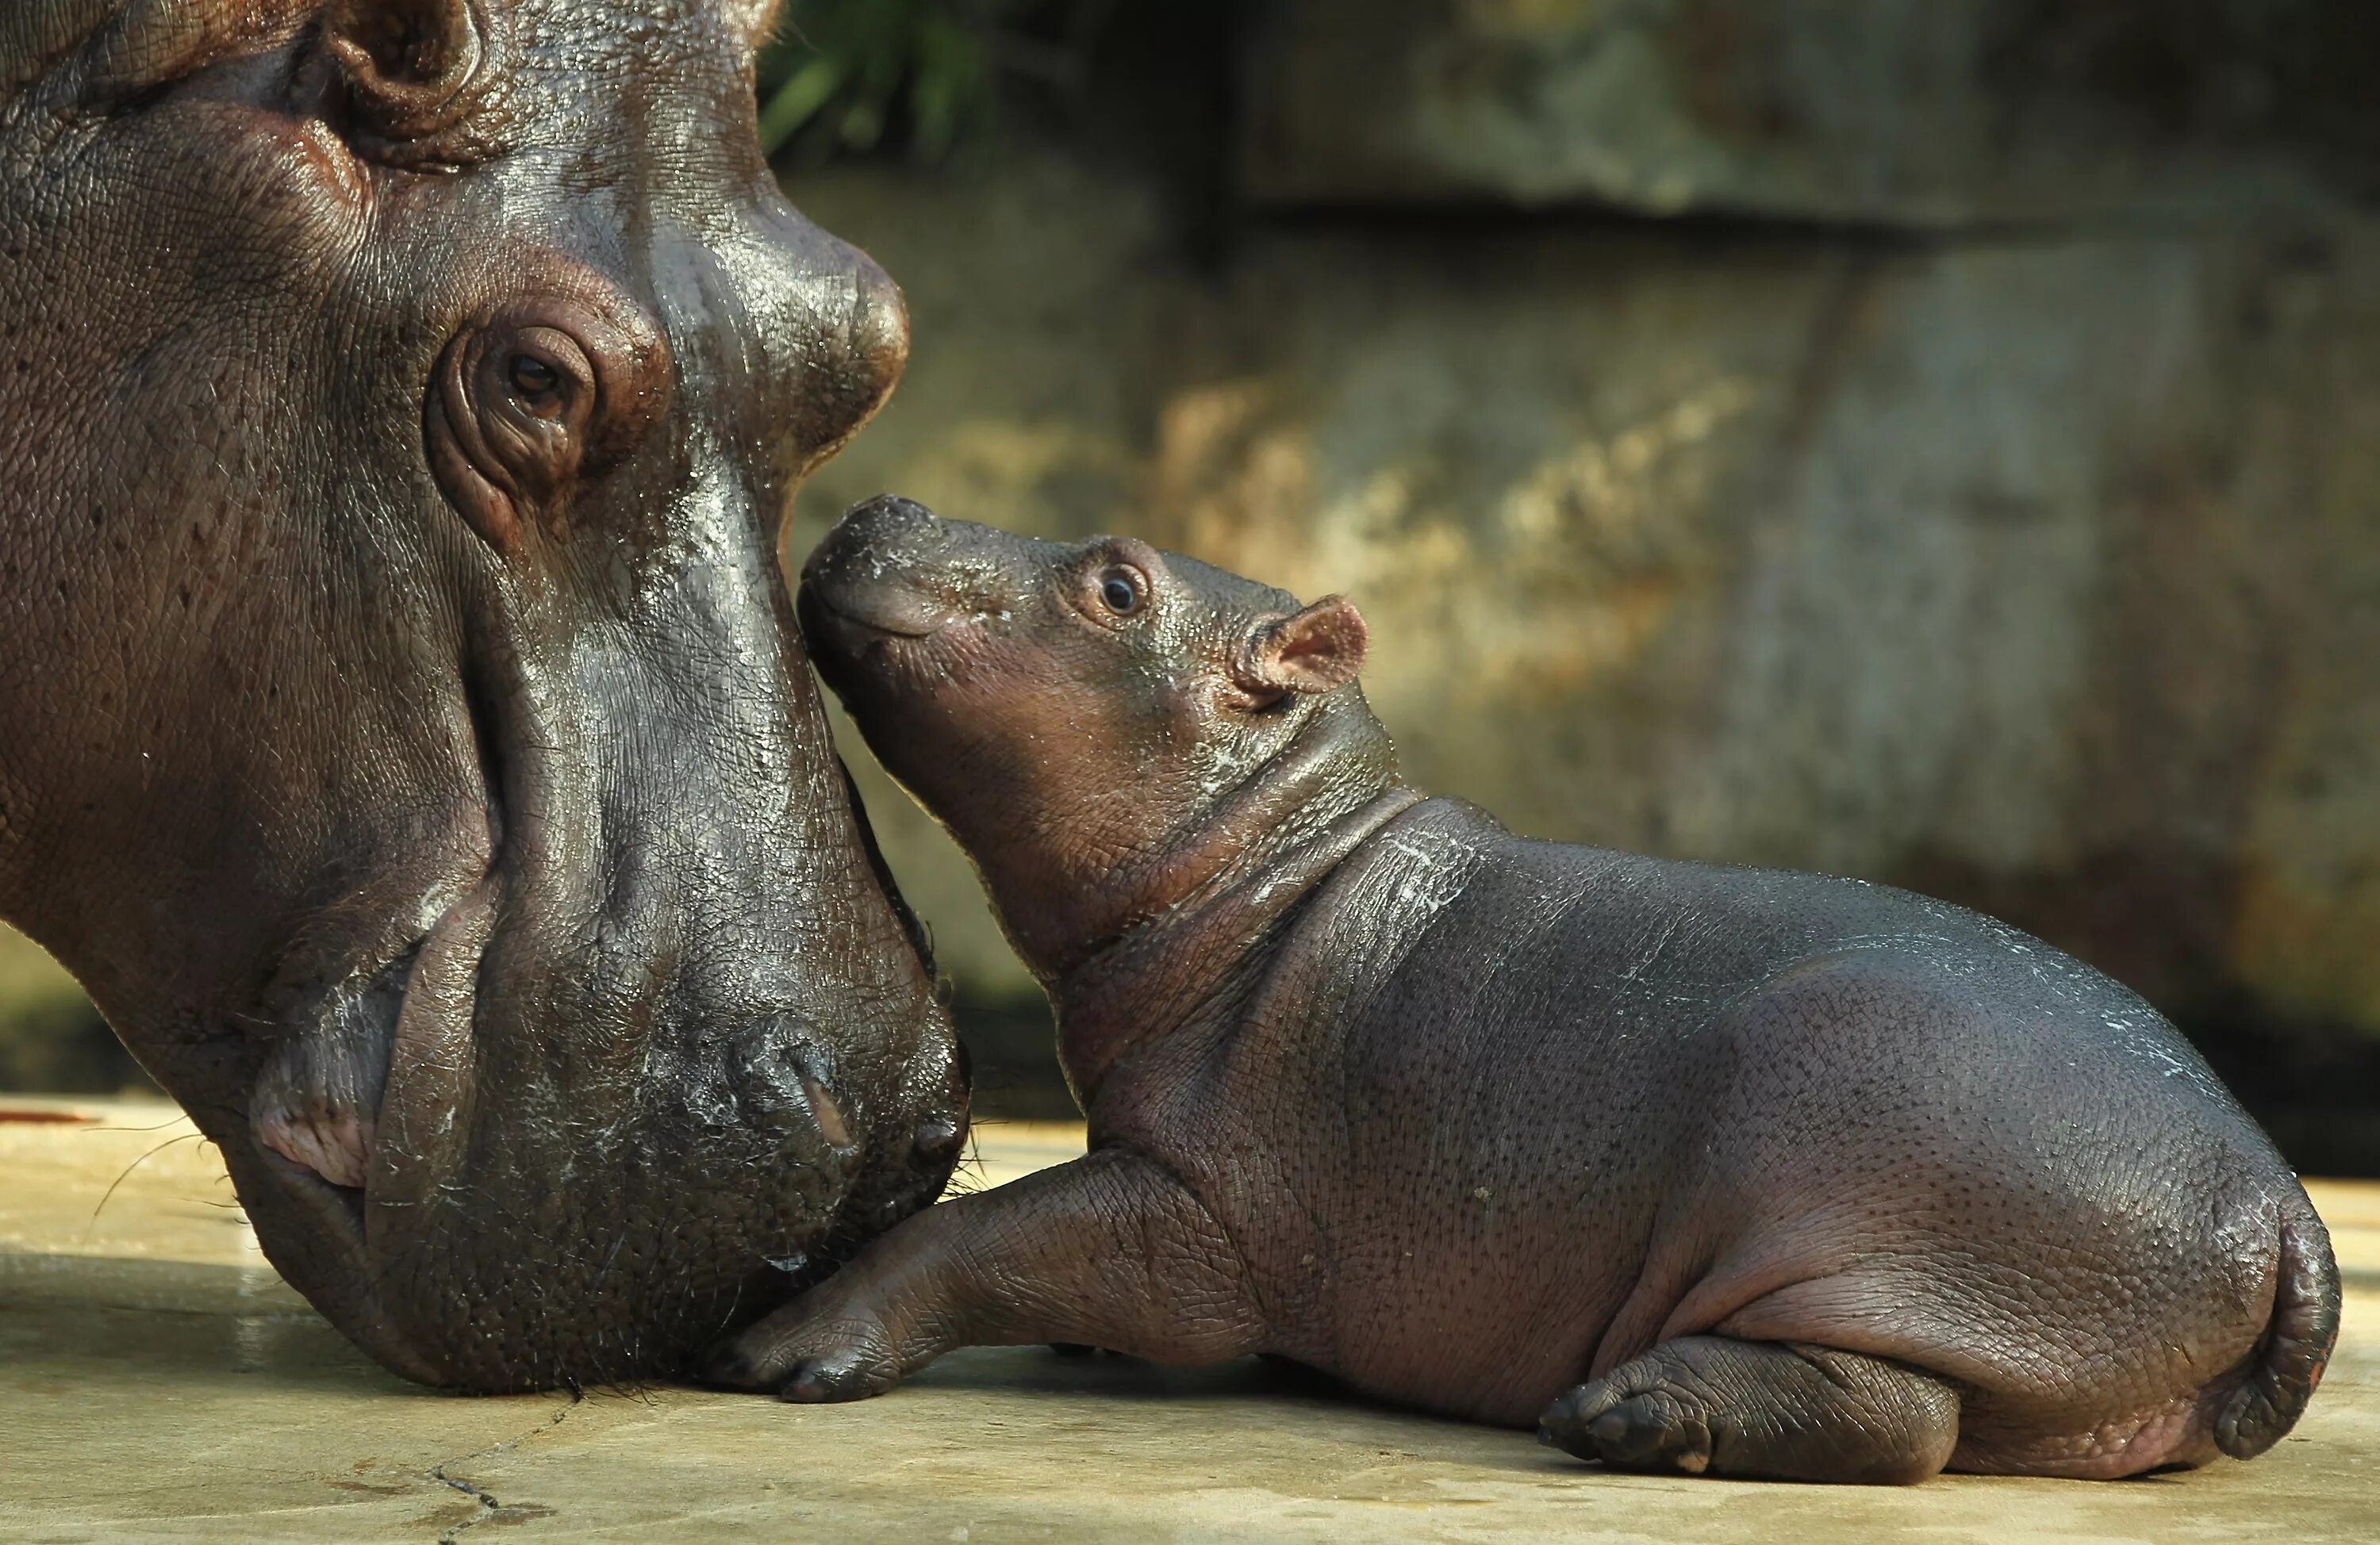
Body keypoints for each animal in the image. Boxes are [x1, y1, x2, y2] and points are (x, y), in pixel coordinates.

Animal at [709, 497, 2342, 1485]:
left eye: (1119, 580)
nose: (885, 507)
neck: (1277, 854)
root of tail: (2275, 1190)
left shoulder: (1206, 1216)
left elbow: (1001, 1223)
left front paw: (783, 1348)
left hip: (1850, 1184)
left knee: (1908, 1417)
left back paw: (1625, 1411)